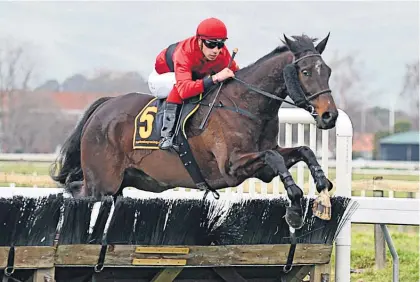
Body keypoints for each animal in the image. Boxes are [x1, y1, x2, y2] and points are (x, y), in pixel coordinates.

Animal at [50, 33, 338, 229]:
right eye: (305, 71)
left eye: (328, 71)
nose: (330, 116)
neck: (246, 103)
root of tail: (103, 106)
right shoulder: (232, 166)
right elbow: (274, 157)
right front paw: (295, 205)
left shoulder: (263, 168)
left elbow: (303, 150)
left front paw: (321, 183)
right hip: (101, 185)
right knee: (77, 194)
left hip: (118, 185)